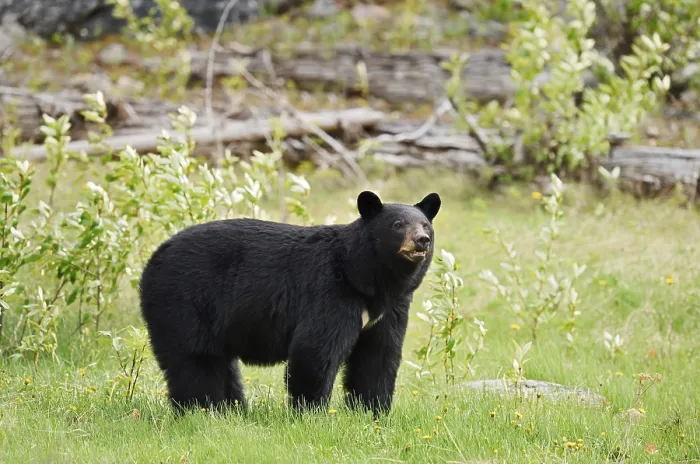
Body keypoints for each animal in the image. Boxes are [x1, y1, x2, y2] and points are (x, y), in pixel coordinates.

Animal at [138, 190, 441, 416]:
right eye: (397, 225)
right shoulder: (330, 292)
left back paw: (231, 410)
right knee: (195, 359)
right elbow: (315, 349)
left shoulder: (390, 308)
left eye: (426, 225)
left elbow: (378, 354)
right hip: (184, 302)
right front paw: (311, 413)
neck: (367, 278)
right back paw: (202, 410)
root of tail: (153, 259)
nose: (422, 240)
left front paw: (372, 411)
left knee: (221, 364)